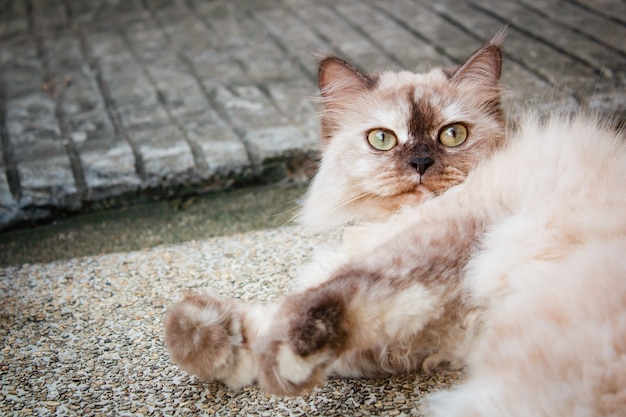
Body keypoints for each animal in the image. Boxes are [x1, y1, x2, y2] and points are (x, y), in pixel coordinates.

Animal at [162, 30, 624, 414]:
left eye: (452, 135)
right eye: (382, 139)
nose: (419, 163)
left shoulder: (443, 239)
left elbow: (330, 291)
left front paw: (283, 359)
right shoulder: (418, 333)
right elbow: (255, 323)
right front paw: (209, 337)